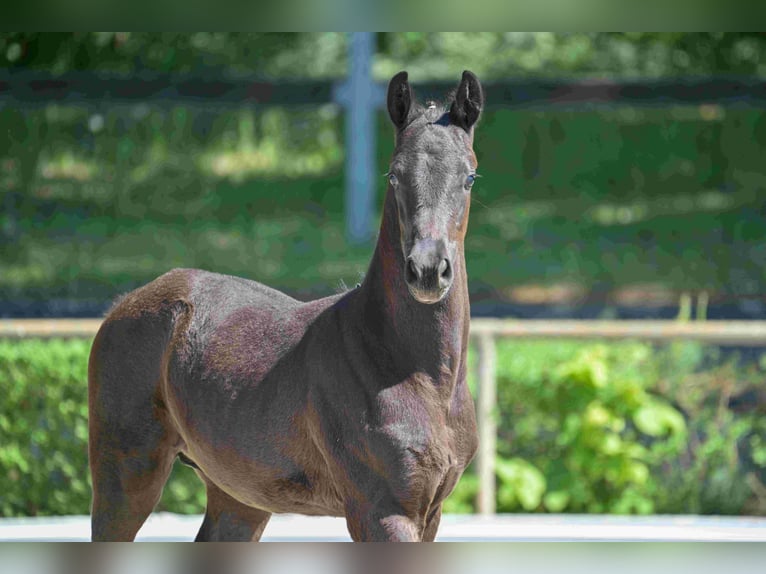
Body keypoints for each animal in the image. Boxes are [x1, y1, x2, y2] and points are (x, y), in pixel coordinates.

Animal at [88, 70, 484, 542]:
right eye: (393, 175)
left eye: (469, 177)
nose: (426, 270)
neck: (412, 369)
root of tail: (122, 304)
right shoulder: (381, 512)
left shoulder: (430, 513)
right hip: (125, 474)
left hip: (238, 496)